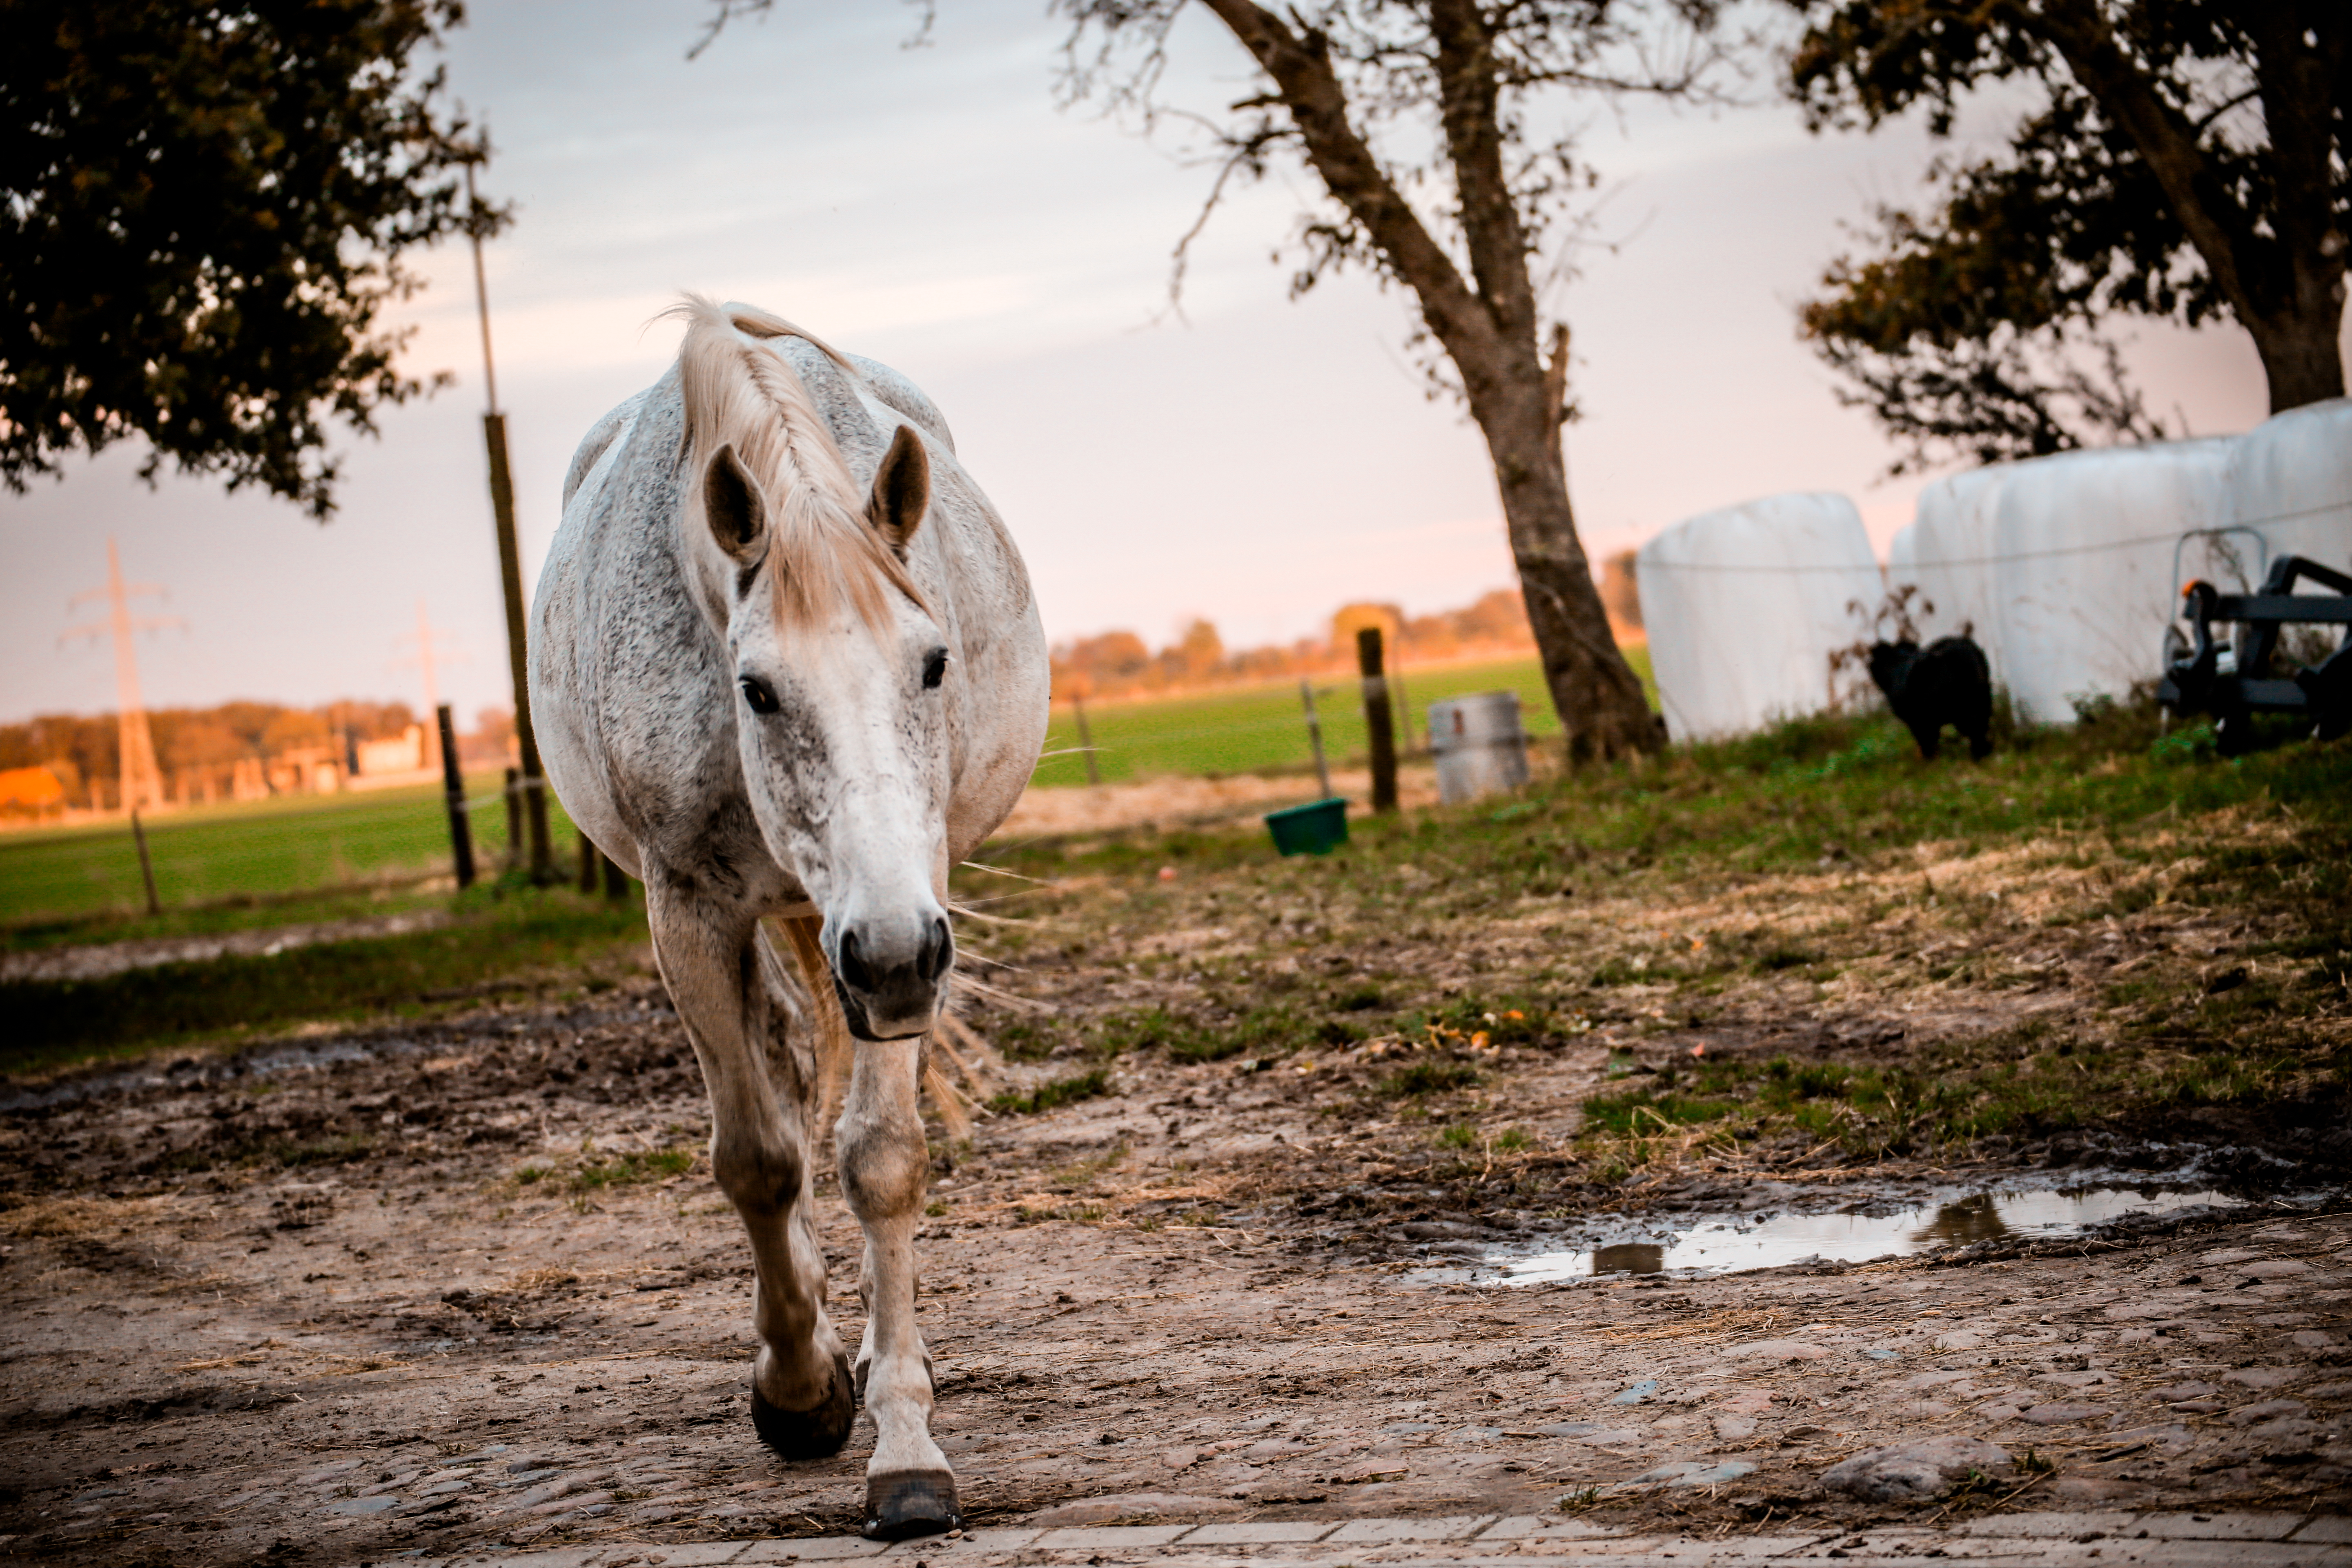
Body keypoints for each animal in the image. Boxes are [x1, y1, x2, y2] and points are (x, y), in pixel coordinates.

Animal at [539, 301, 1054, 1542]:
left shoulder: (910, 915)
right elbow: (761, 1159)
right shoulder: (688, 909)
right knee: (776, 1069)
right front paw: (795, 1386)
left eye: (933, 662)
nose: (893, 953)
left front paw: (904, 1443)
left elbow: (881, 1159)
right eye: (758, 689)